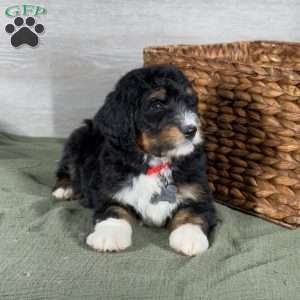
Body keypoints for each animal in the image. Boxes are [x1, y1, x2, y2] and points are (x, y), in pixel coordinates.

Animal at [51, 64, 216, 256]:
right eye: (157, 104)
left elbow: (193, 213)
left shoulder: (199, 193)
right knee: (65, 168)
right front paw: (109, 235)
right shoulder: (110, 191)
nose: (192, 130)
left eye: (191, 102)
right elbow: (114, 210)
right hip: (77, 141)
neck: (155, 163)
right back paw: (65, 188)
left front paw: (189, 237)